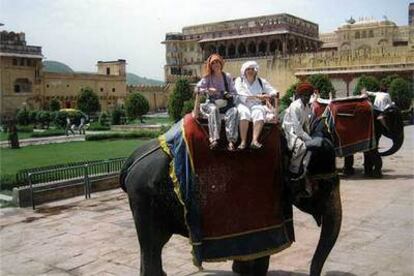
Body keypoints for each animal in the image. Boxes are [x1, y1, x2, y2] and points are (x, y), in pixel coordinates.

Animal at [120, 118, 342, 276]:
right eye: (325, 187)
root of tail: (132, 160)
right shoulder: (266, 195)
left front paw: (239, 270)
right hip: (145, 198)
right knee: (152, 244)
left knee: (153, 245)